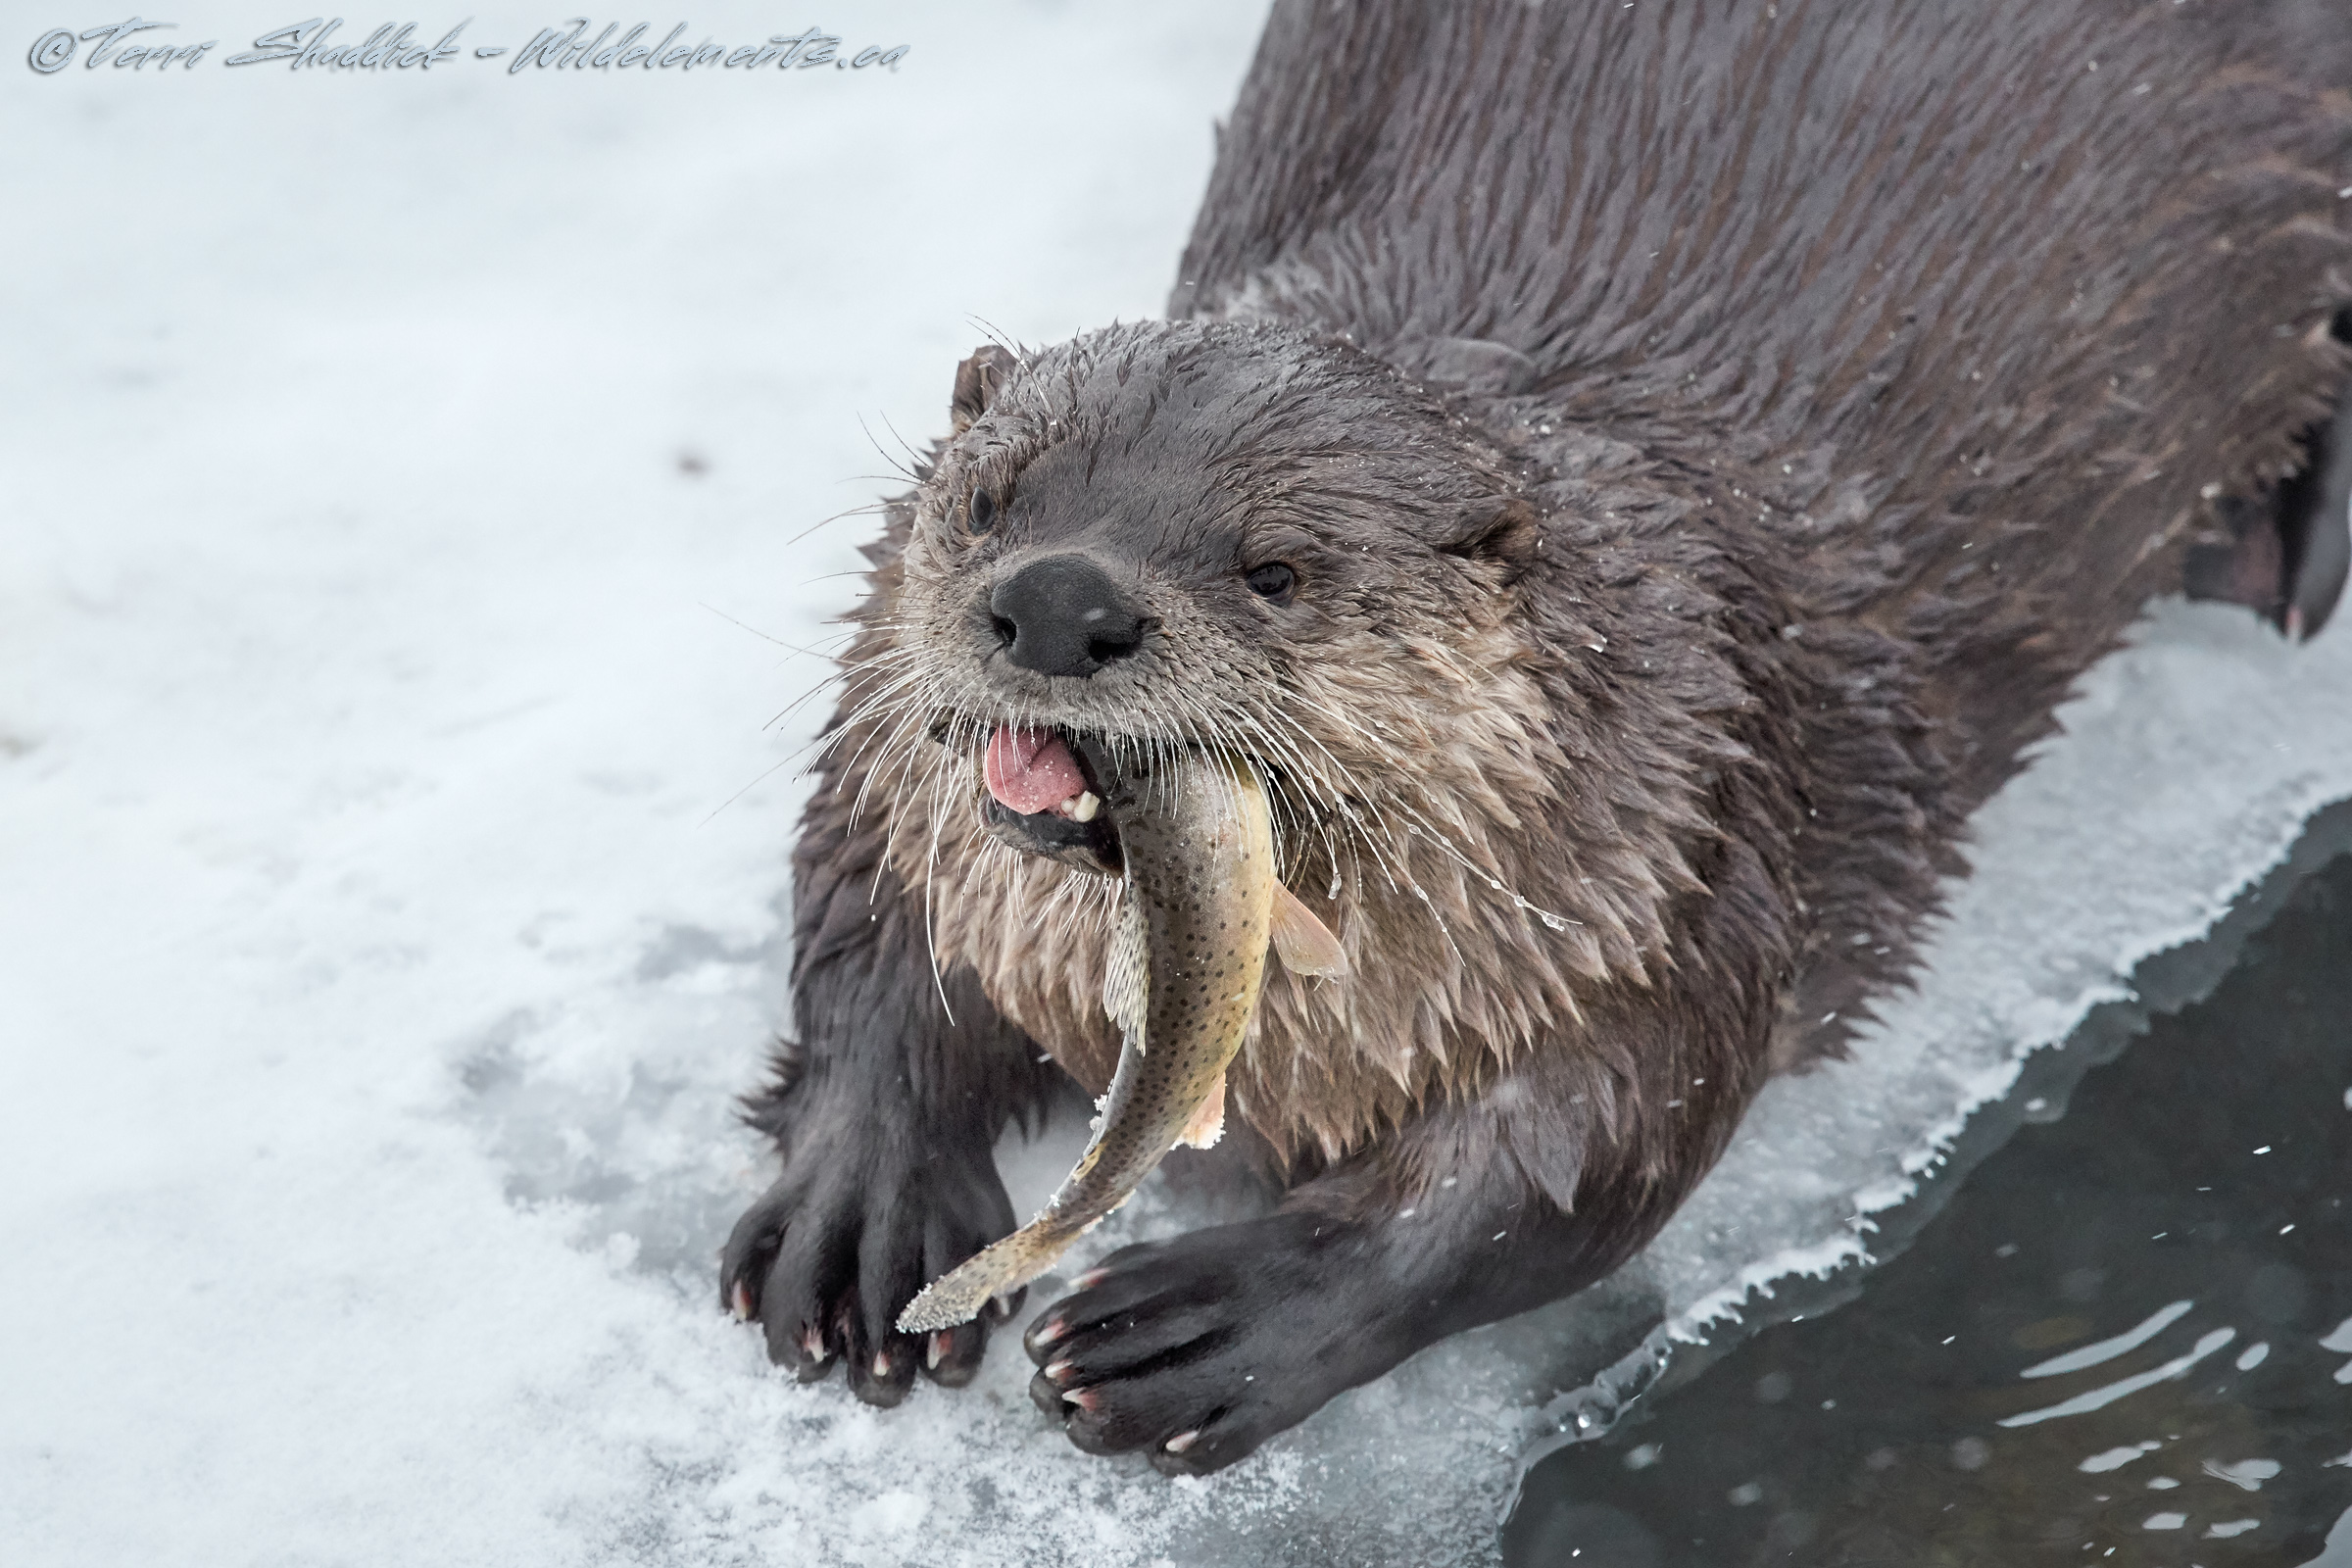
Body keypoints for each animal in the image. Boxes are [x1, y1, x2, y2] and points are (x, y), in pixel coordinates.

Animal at [721, 0, 2352, 1474]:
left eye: (1276, 569)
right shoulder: (895, 786)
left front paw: (1208, 1328)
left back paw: (2290, 539)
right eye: (991, 499)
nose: (1061, 601)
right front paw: (863, 1206)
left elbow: (1573, 1166)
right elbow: (867, 924)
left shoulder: (1694, 842)